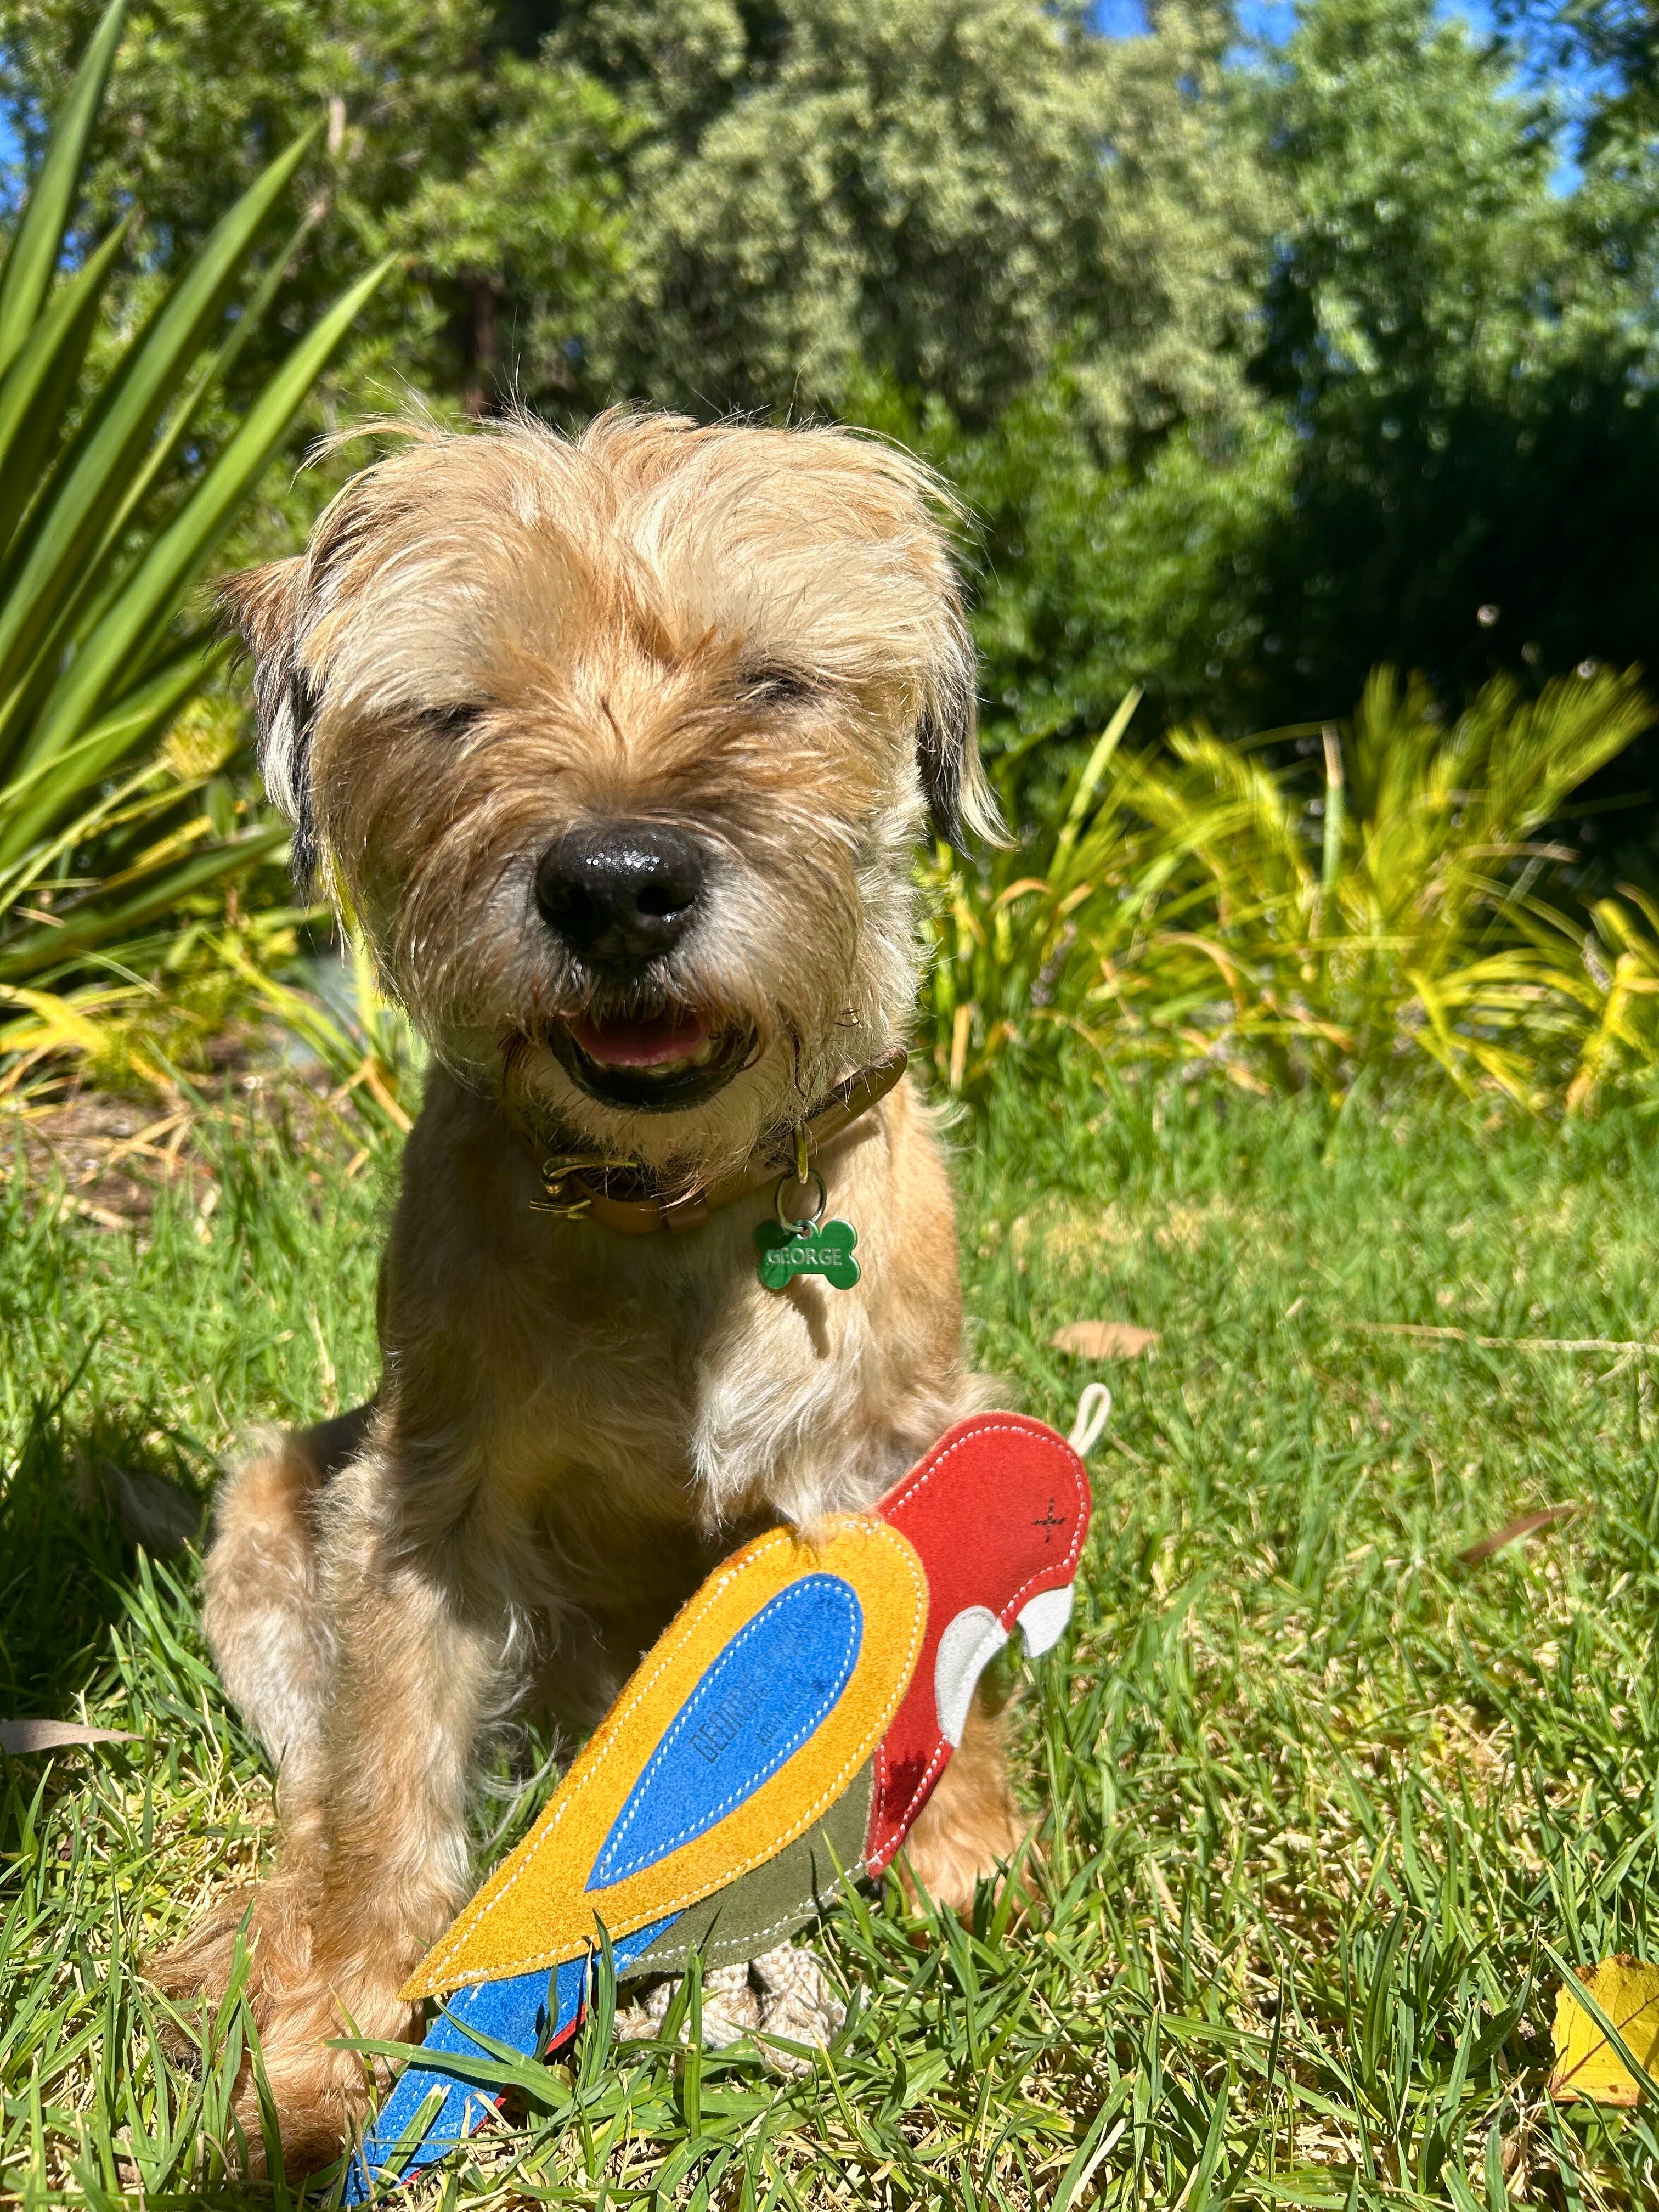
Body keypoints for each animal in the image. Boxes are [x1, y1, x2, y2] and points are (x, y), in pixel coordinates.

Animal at [153, 407, 1026, 2168]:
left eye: (772, 681)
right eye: (456, 710)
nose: (616, 883)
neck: (675, 1207)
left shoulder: (894, 1444)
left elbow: (937, 1642)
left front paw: (957, 1843)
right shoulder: (428, 1495)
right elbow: (385, 1759)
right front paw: (333, 2025)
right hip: (271, 1510)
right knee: (313, 1759)